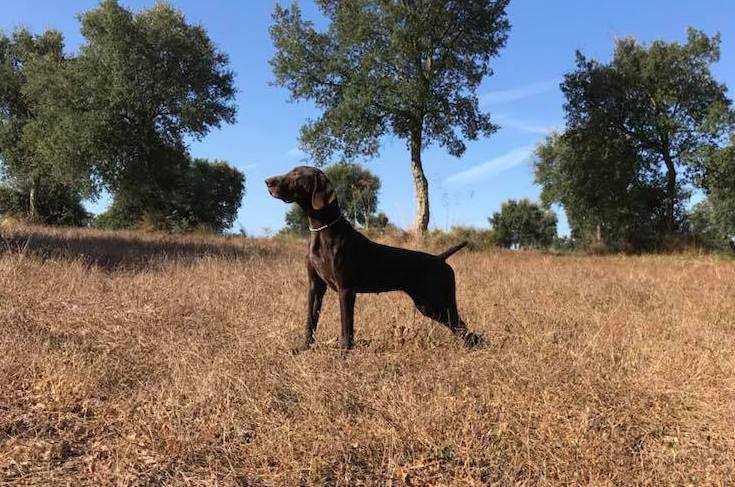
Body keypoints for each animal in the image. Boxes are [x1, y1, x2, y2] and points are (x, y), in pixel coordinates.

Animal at [266, 167, 484, 350]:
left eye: (296, 174)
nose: (267, 181)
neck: (323, 231)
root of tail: (440, 259)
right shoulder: (315, 287)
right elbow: (310, 321)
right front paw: (304, 348)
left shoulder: (346, 289)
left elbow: (346, 326)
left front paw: (344, 352)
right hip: (427, 305)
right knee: (463, 330)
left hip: (437, 303)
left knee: (464, 328)